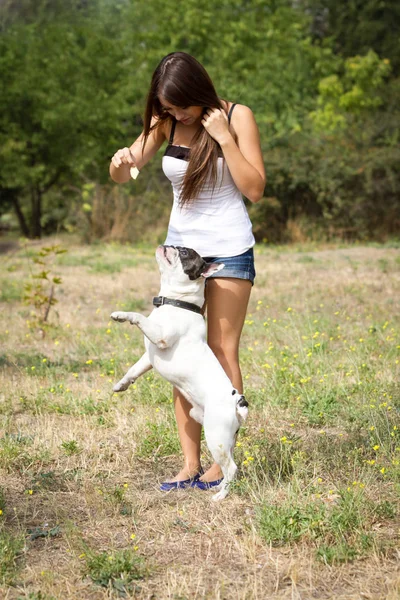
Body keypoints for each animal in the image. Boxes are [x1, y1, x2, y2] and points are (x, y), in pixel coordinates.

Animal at [109, 244, 247, 502]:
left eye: (185, 253)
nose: (171, 244)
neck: (175, 303)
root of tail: (238, 401)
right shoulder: (149, 356)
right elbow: (134, 369)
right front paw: (122, 384)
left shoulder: (159, 336)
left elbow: (139, 317)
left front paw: (123, 315)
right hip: (215, 428)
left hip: (216, 434)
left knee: (232, 468)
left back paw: (220, 496)